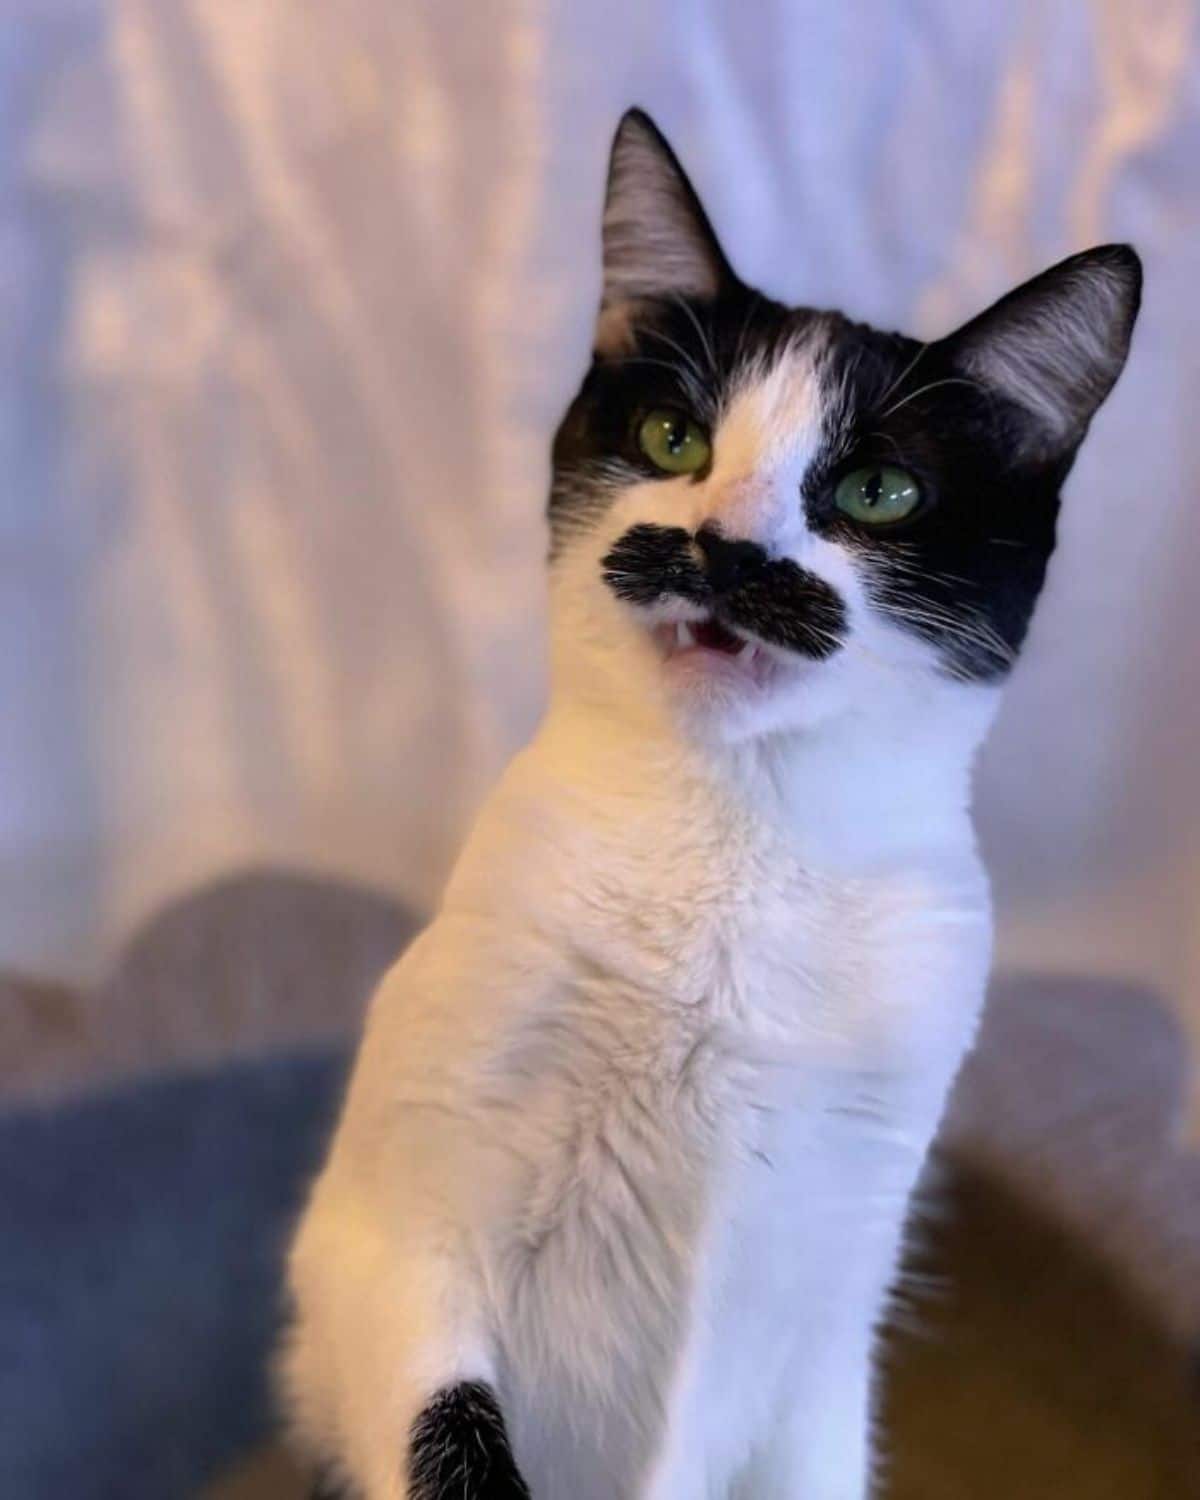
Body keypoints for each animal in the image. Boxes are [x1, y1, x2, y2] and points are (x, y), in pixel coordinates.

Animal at [276, 108, 1140, 1500]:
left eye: (877, 492)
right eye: (675, 440)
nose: (722, 548)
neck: (735, 842)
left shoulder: (829, 1289)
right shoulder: (396, 1221)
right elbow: (440, 1414)